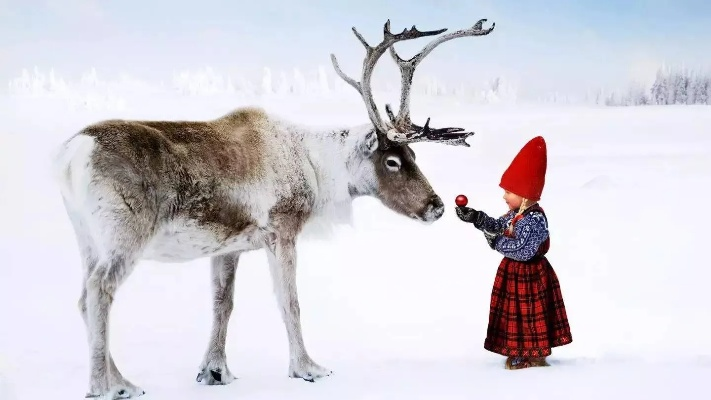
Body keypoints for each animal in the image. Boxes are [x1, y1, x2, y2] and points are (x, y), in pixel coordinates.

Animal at [52, 18, 494, 399]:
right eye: (392, 161)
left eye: (414, 155)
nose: (437, 206)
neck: (315, 167)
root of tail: (72, 153)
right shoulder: (283, 229)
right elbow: (290, 301)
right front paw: (308, 367)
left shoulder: (228, 246)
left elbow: (223, 304)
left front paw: (215, 371)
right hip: (125, 236)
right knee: (101, 291)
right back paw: (105, 386)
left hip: (86, 237)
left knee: (83, 297)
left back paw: (122, 381)